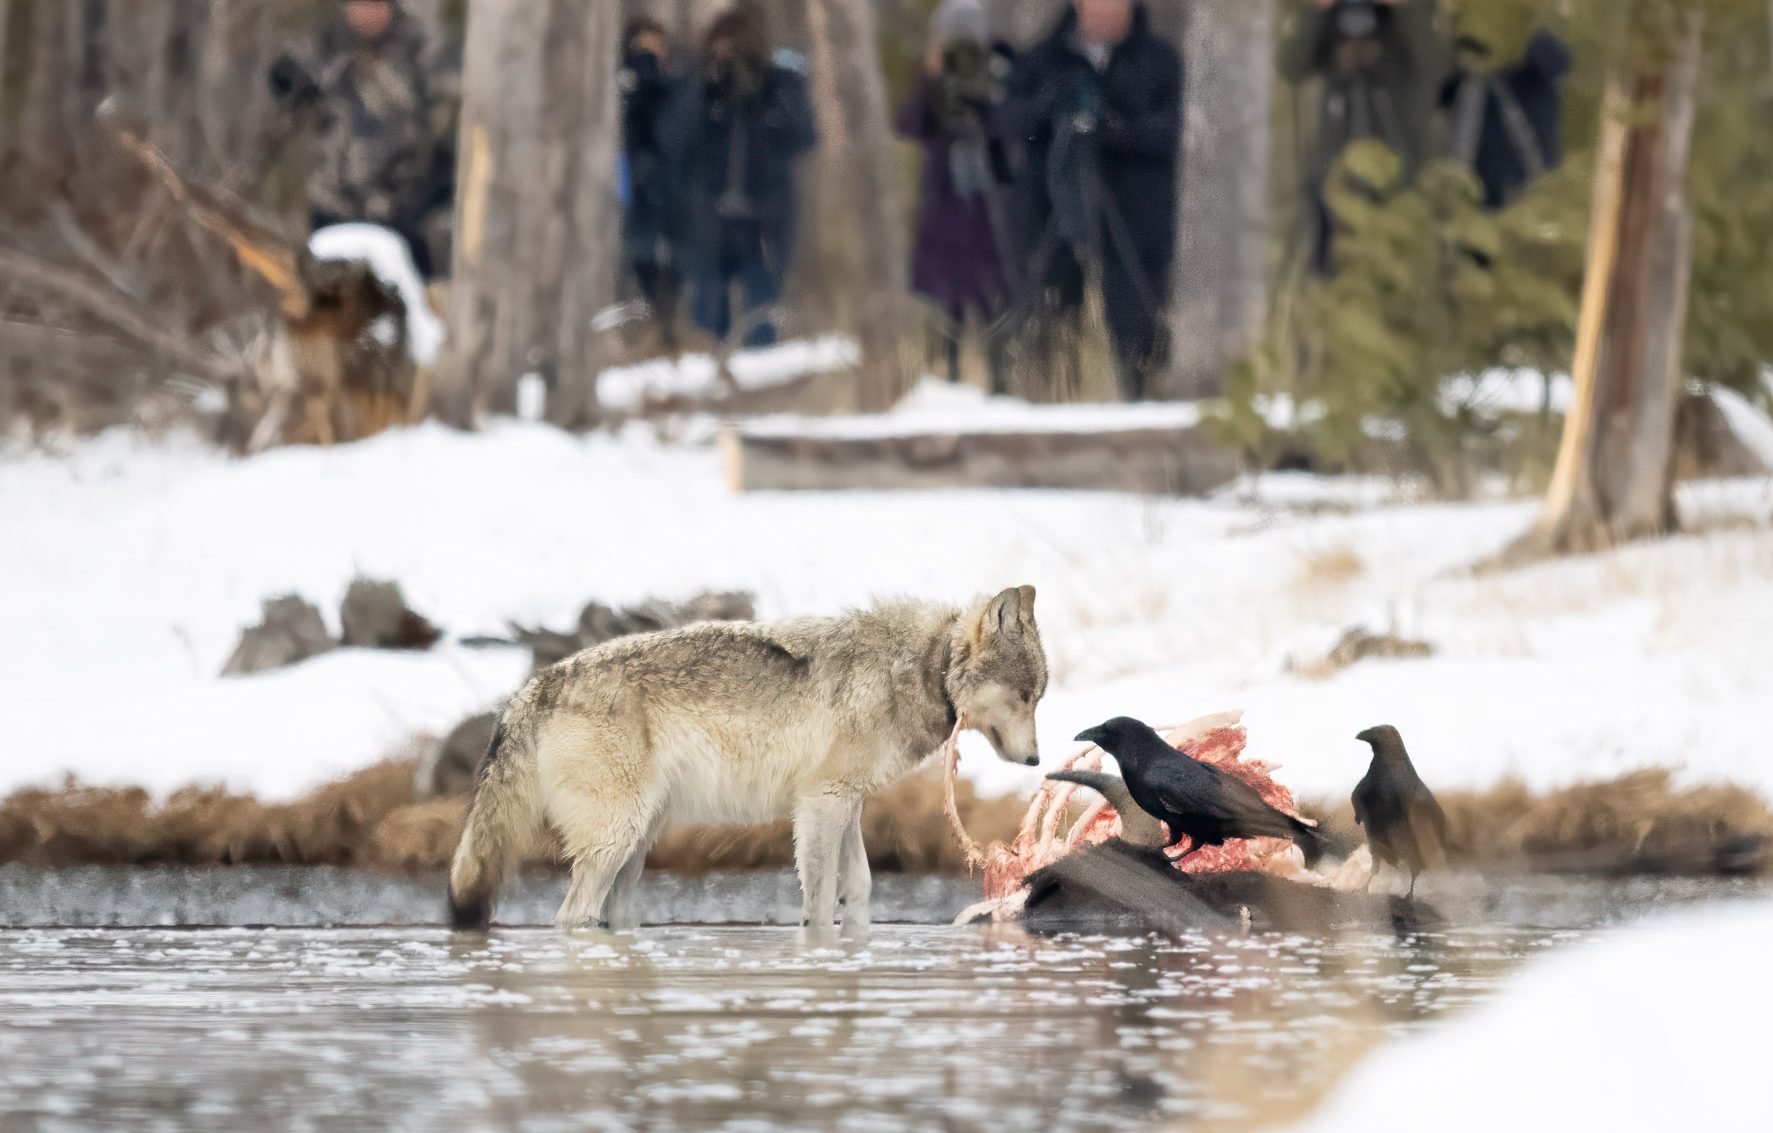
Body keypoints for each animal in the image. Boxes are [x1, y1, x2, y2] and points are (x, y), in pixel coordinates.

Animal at [448, 586, 1048, 932]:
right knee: (571, 917)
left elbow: (860, 890)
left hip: (637, 843)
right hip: (615, 840)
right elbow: (821, 903)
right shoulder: (821, 804)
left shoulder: (846, 803)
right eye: (1024, 696)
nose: (1038, 760)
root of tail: (531, 689)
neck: (920, 669)